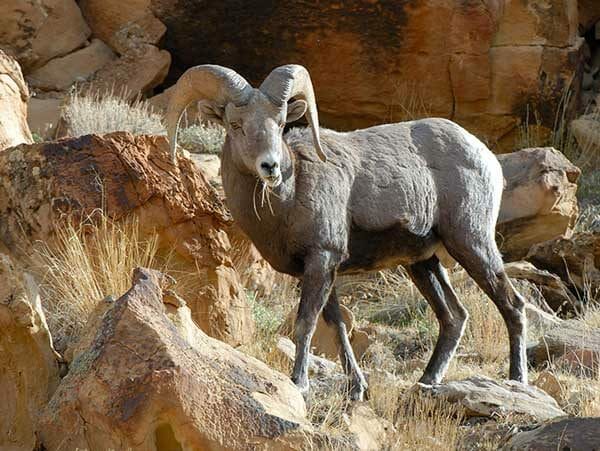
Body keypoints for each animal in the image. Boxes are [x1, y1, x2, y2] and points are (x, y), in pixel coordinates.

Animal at [166, 64, 528, 402]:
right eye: (236, 125)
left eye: (280, 123)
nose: (270, 167)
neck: (288, 197)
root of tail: (485, 157)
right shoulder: (320, 270)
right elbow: (337, 325)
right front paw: (357, 389)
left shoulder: (322, 259)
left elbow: (306, 323)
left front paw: (300, 383)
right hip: (422, 263)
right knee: (454, 316)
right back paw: (427, 381)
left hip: (471, 243)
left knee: (513, 305)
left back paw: (517, 381)